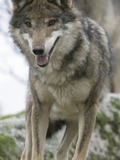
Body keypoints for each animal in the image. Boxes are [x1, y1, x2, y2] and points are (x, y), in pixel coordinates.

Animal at [9, 0, 113, 160]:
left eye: (52, 22)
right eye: (28, 23)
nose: (38, 51)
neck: (56, 74)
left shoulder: (89, 108)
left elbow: (80, 152)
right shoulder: (41, 107)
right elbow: (37, 152)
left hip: (74, 120)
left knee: (60, 150)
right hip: (32, 115)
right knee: (28, 151)